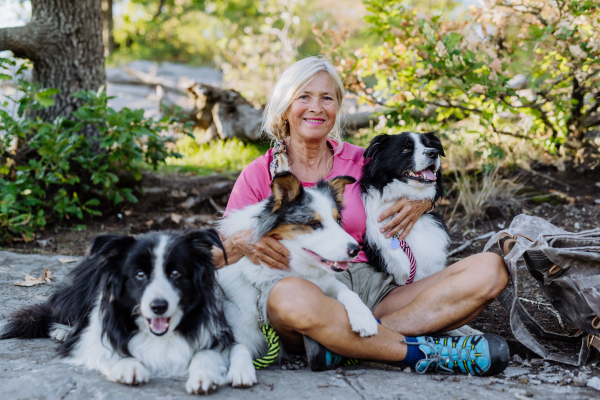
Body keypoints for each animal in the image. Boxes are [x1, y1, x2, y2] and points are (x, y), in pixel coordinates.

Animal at [0, 228, 253, 394]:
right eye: (139, 274)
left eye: (176, 273)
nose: (158, 306)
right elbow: (104, 347)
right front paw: (129, 366)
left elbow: (212, 351)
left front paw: (205, 375)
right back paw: (62, 331)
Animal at [218, 172, 380, 372]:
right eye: (315, 224)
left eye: (338, 220)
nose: (355, 249)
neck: (289, 272)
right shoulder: (240, 331)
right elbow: (238, 348)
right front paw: (241, 370)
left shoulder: (326, 282)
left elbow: (347, 291)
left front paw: (364, 318)